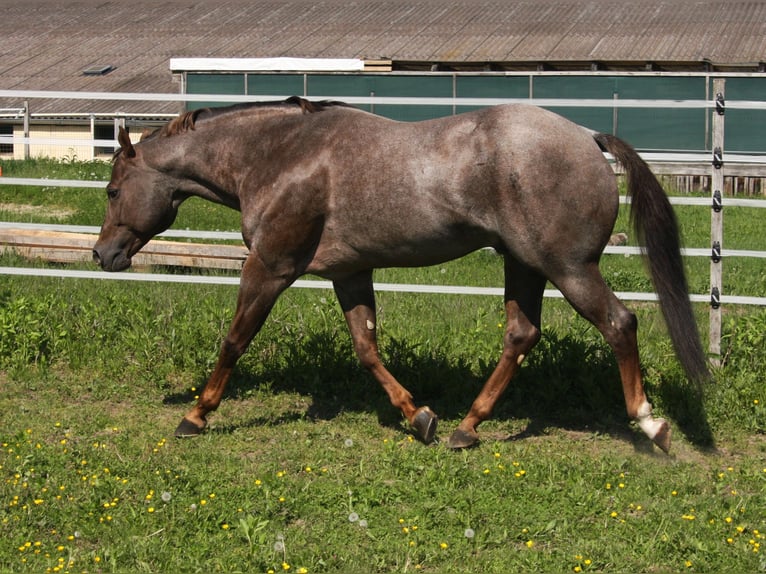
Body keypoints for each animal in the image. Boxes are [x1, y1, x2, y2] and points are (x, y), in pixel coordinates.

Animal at [93, 96, 709, 452]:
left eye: (113, 190)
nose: (103, 256)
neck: (281, 154)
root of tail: (587, 137)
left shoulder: (270, 266)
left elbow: (234, 340)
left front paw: (196, 416)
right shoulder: (349, 272)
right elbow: (367, 350)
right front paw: (420, 418)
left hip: (569, 269)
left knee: (619, 324)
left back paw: (650, 425)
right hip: (524, 264)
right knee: (521, 335)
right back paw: (466, 427)